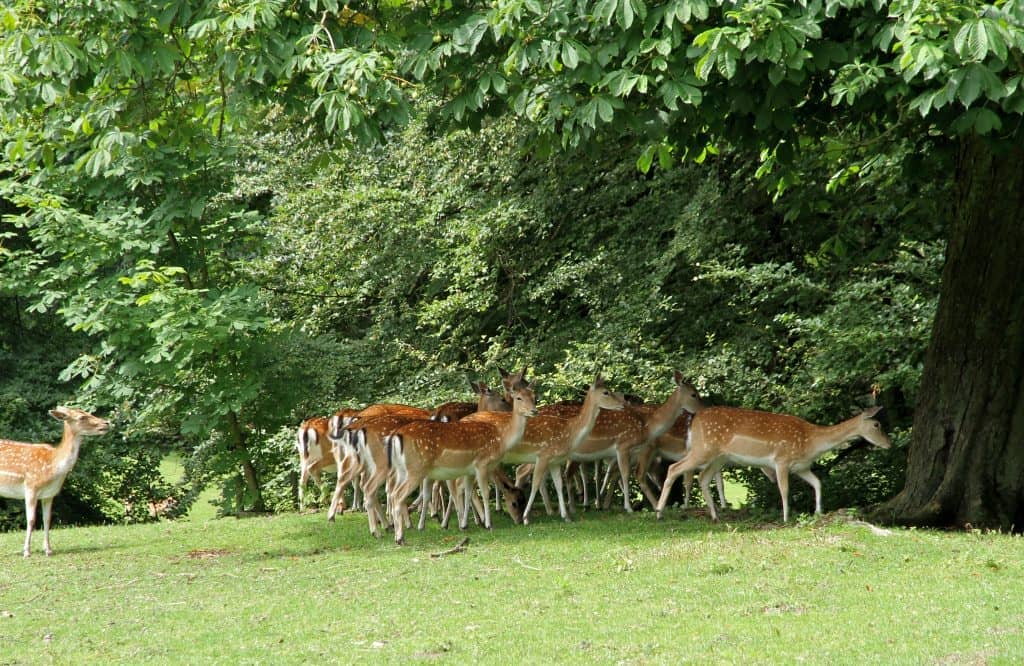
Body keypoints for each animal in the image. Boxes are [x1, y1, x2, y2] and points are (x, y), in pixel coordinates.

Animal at [0, 403, 111, 553]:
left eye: (89, 412)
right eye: (81, 417)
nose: (106, 423)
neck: (53, 466)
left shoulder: (50, 494)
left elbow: (47, 520)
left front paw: (48, 550)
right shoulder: (31, 486)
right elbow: (31, 520)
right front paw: (27, 551)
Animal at [385, 387, 540, 540]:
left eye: (534, 397)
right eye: (518, 398)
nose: (534, 411)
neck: (501, 440)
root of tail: (396, 436)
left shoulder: (469, 471)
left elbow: (468, 492)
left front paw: (465, 525)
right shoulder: (481, 464)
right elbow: (484, 493)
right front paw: (488, 524)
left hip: (403, 470)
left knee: (393, 492)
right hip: (416, 469)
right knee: (398, 495)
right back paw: (400, 537)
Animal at [655, 401, 888, 520]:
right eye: (877, 424)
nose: (889, 443)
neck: (811, 442)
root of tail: (693, 420)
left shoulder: (801, 467)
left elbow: (818, 483)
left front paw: (818, 511)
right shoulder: (781, 460)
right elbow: (784, 490)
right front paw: (786, 517)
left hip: (719, 457)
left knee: (703, 478)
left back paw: (715, 516)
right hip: (703, 449)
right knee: (674, 468)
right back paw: (659, 512)